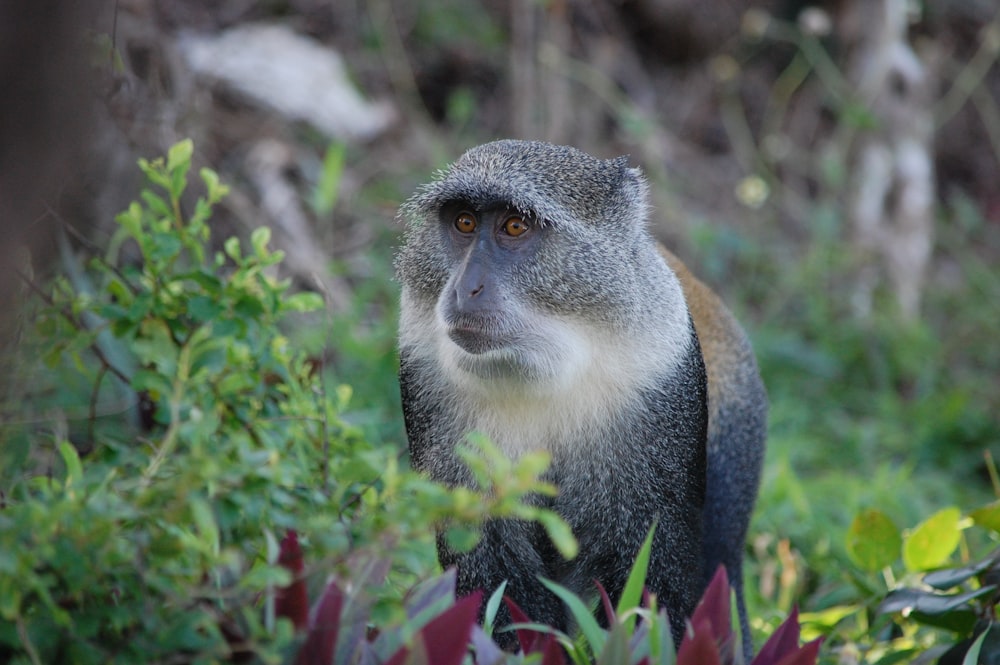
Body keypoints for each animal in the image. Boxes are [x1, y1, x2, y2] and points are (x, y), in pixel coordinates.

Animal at [392, 137, 764, 656]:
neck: (547, 362)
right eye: (464, 222)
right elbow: (495, 578)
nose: (467, 288)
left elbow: (653, 575)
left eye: (514, 225)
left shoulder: (661, 373)